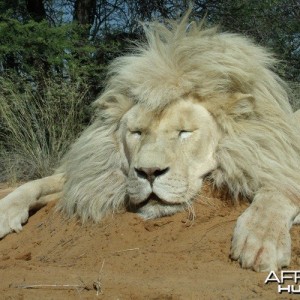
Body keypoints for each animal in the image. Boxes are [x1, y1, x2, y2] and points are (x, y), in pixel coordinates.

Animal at [0, 13, 300, 272]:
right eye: (137, 132)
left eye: (184, 132)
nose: (149, 172)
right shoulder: (90, 176)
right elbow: (36, 184)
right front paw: (5, 212)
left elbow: (279, 190)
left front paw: (260, 240)